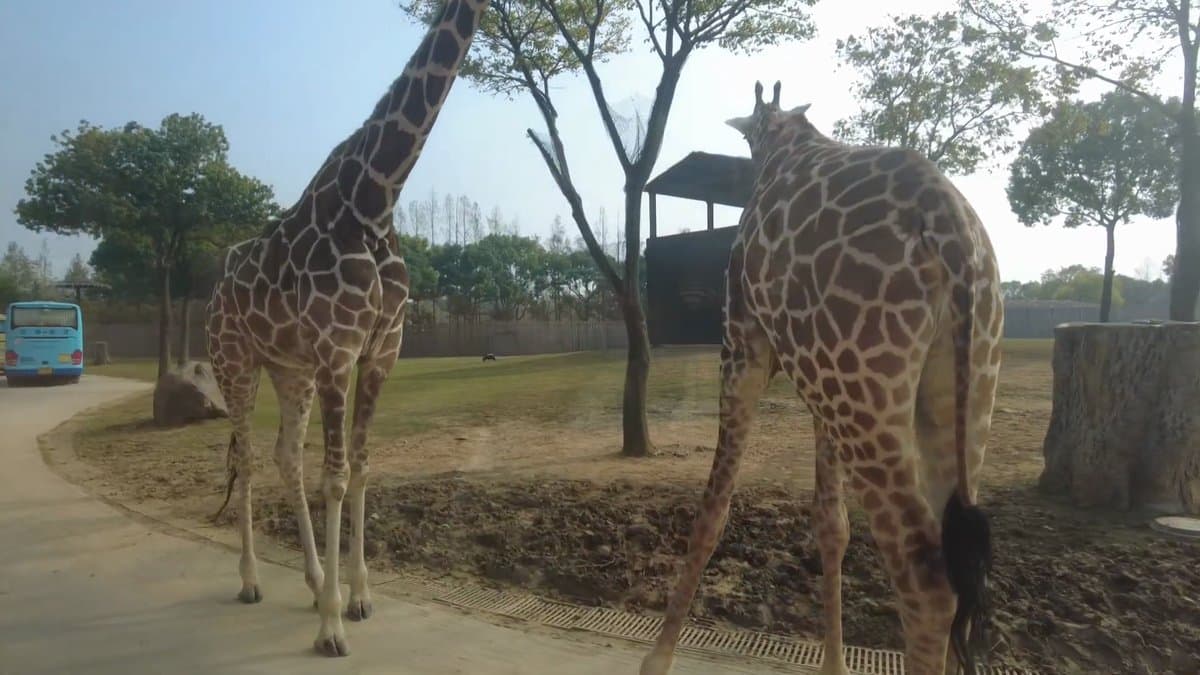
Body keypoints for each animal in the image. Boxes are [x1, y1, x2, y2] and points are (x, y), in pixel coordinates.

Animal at [204, 0, 490, 657]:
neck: (377, 197)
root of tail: (210, 290)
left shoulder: (381, 351)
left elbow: (360, 466)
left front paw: (356, 597)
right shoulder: (339, 348)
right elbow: (333, 477)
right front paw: (333, 626)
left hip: (292, 370)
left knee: (284, 455)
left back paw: (312, 583)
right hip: (235, 361)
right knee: (248, 459)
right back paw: (252, 582)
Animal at [640, 82, 1004, 675]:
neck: (787, 139)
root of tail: (950, 230)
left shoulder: (742, 347)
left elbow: (712, 509)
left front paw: (657, 659)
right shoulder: (819, 384)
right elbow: (832, 525)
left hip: (866, 395)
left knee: (928, 584)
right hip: (963, 388)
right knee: (961, 572)